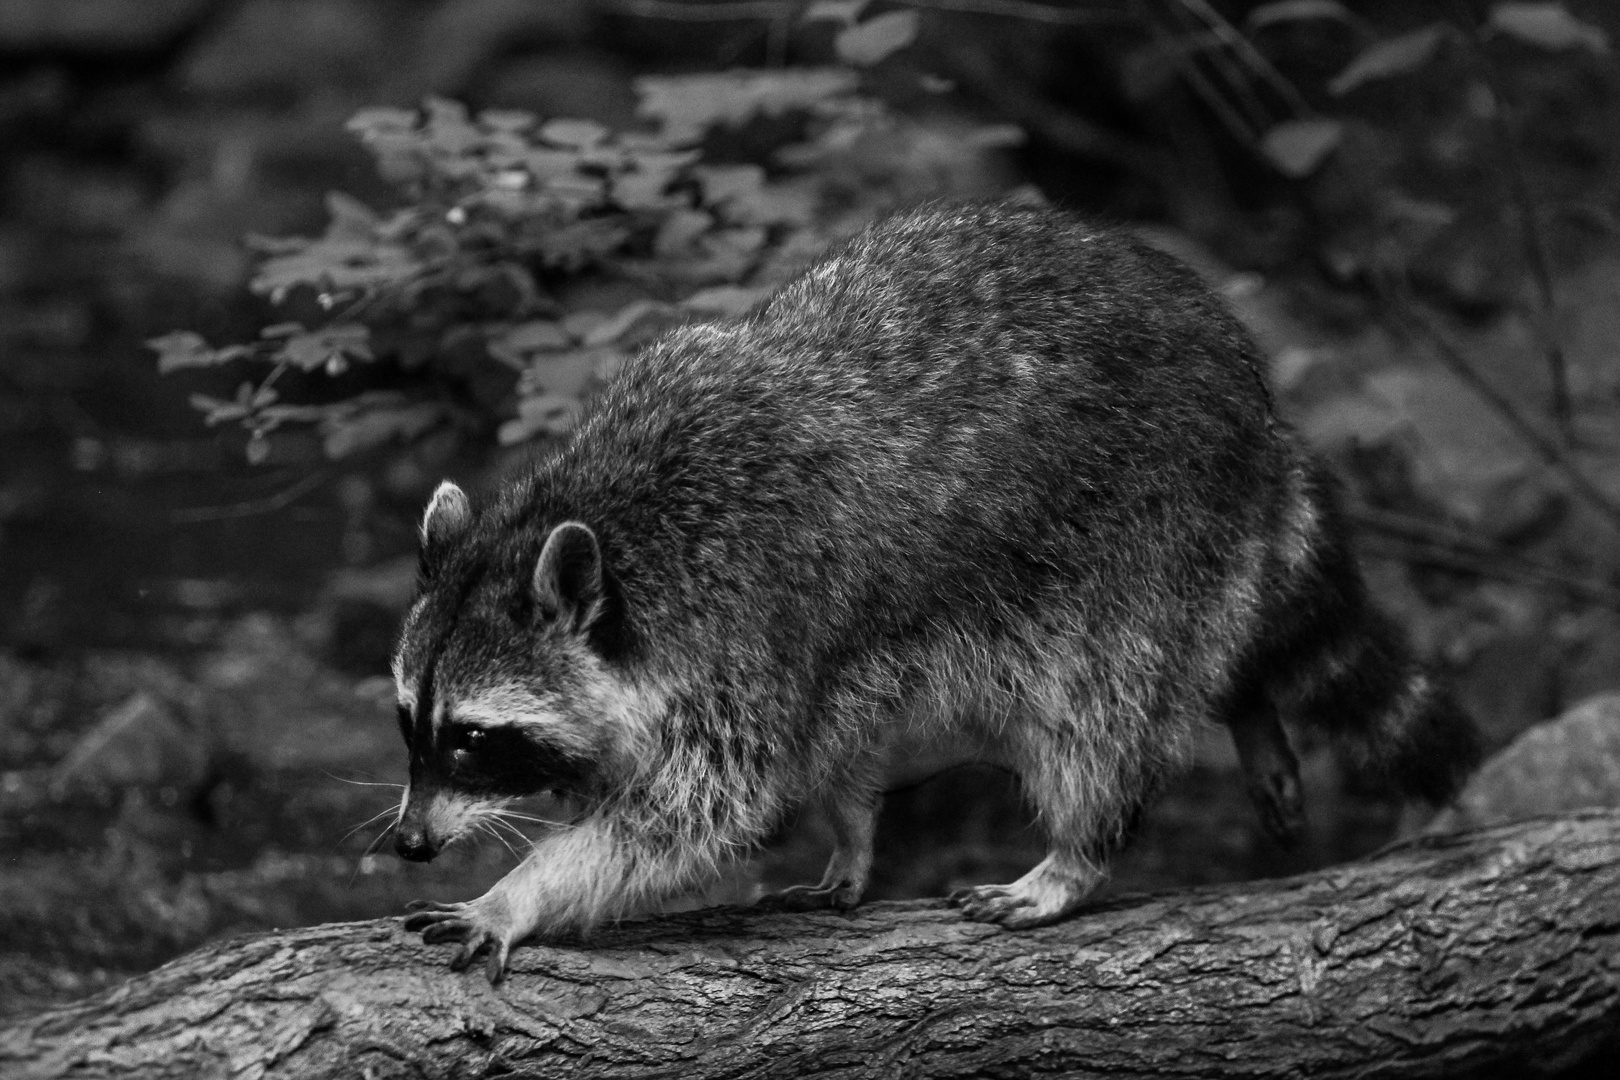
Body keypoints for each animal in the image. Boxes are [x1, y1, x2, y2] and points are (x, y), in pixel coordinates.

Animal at [392, 200, 1483, 977]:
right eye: (411, 722)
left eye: (474, 739)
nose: (407, 841)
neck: (609, 528)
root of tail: (1253, 398)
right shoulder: (793, 651)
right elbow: (815, 750)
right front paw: (850, 831)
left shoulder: (745, 624)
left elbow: (691, 814)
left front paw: (520, 891)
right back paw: (1246, 707)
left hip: (1146, 531)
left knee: (1102, 709)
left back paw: (1081, 850)